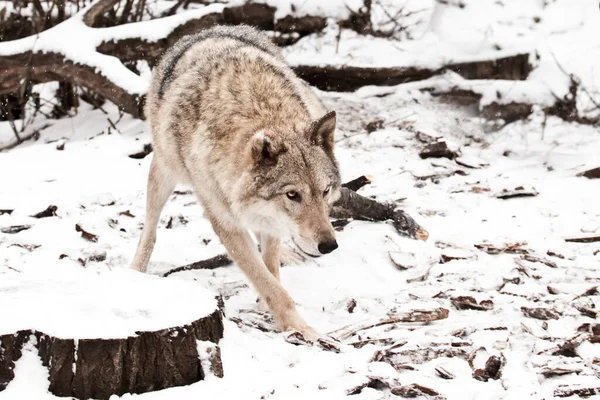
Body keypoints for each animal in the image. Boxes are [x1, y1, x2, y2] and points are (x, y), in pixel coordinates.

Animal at [131, 24, 342, 338]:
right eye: (293, 195)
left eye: (325, 191)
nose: (329, 246)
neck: (259, 109)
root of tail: (207, 30)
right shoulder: (225, 223)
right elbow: (269, 282)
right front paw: (298, 327)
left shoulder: (267, 219)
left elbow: (269, 267)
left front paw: (269, 302)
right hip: (165, 170)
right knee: (150, 229)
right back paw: (135, 272)